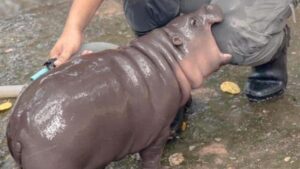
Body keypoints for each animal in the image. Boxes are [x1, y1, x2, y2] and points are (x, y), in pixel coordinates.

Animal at [7, 4, 231, 169]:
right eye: (193, 22)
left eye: (187, 17)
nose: (210, 5)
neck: (168, 56)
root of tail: (16, 130)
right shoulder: (157, 133)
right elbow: (151, 158)